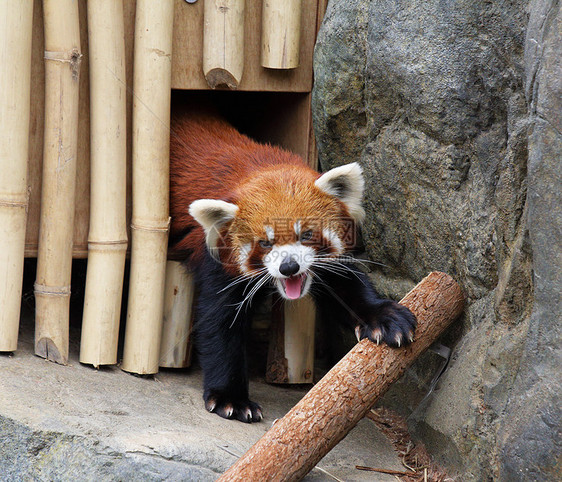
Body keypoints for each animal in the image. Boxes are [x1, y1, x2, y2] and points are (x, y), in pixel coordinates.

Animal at [168, 109, 414, 422]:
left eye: (305, 234)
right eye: (265, 243)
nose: (289, 267)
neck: (259, 166)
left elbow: (345, 285)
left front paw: (384, 317)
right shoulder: (217, 262)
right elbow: (219, 324)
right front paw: (231, 397)